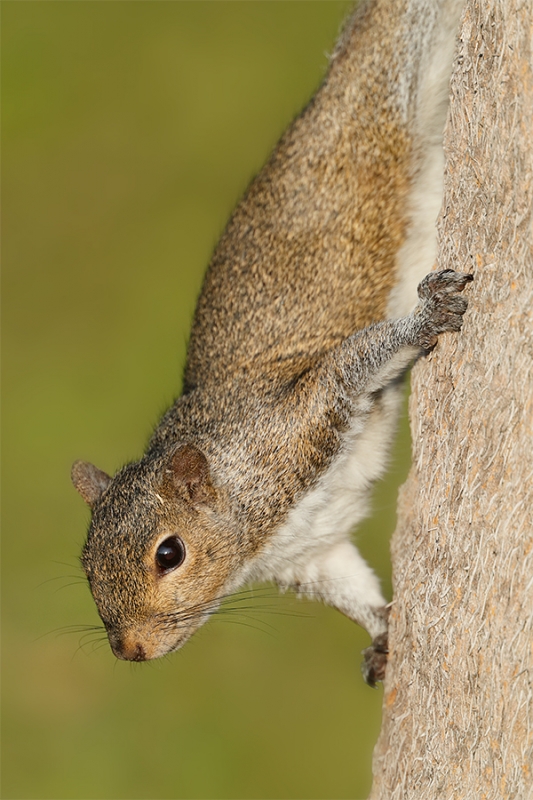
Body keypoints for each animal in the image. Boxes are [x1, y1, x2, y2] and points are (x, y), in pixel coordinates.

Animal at [70, 0, 470, 688]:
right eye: (85, 563)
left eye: (169, 553)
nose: (131, 650)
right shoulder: (311, 551)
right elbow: (349, 583)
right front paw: (384, 633)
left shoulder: (296, 421)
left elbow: (353, 361)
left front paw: (427, 318)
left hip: (408, 73)